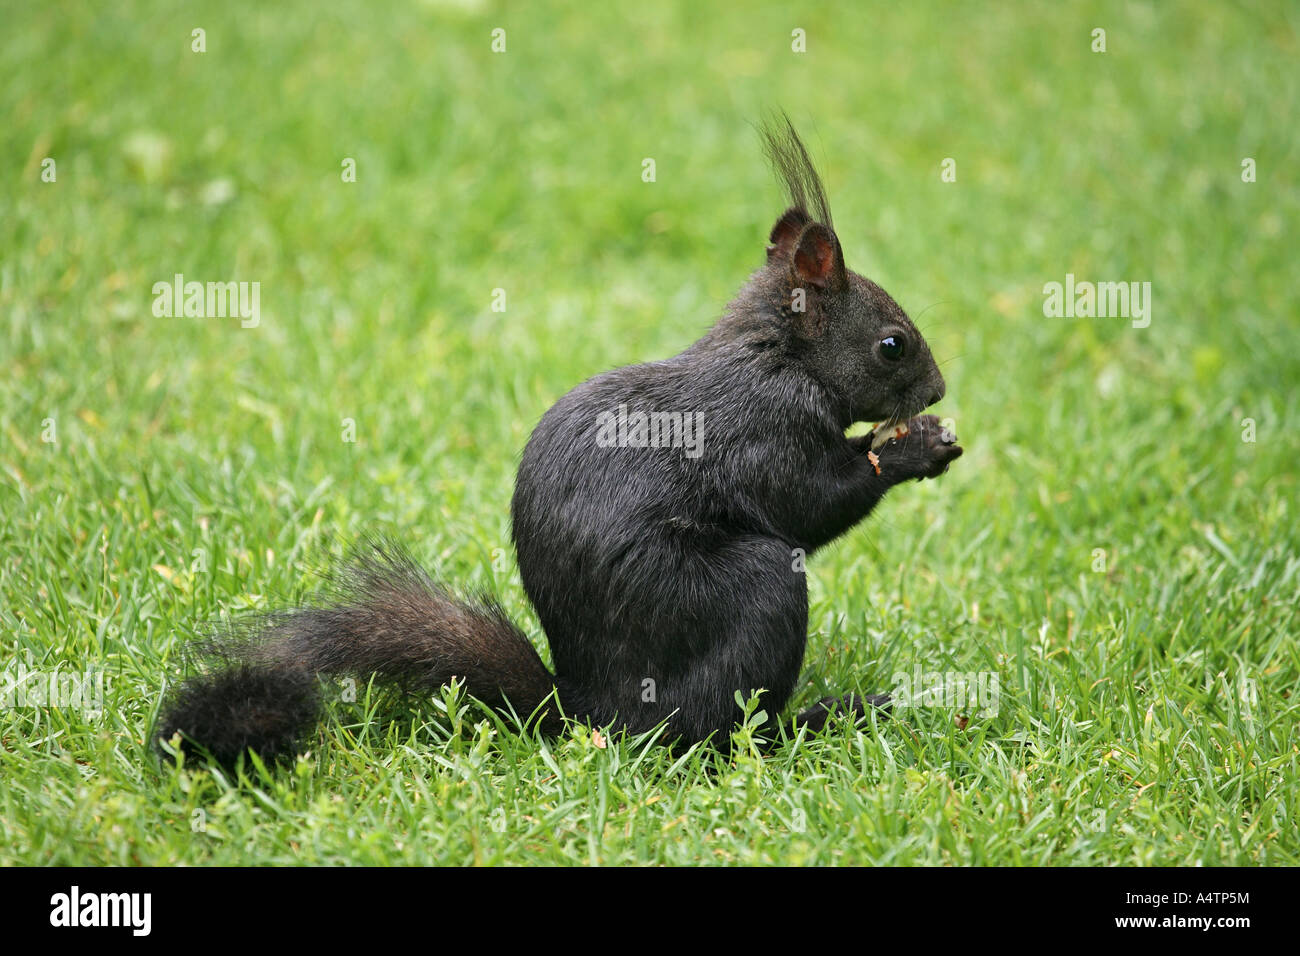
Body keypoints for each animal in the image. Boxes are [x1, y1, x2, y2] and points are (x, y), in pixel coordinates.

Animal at [157, 113, 961, 770]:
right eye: (893, 344)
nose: (939, 390)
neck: (778, 354)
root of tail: (590, 713)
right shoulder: (766, 428)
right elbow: (812, 503)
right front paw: (915, 448)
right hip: (748, 594)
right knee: (715, 736)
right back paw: (814, 721)